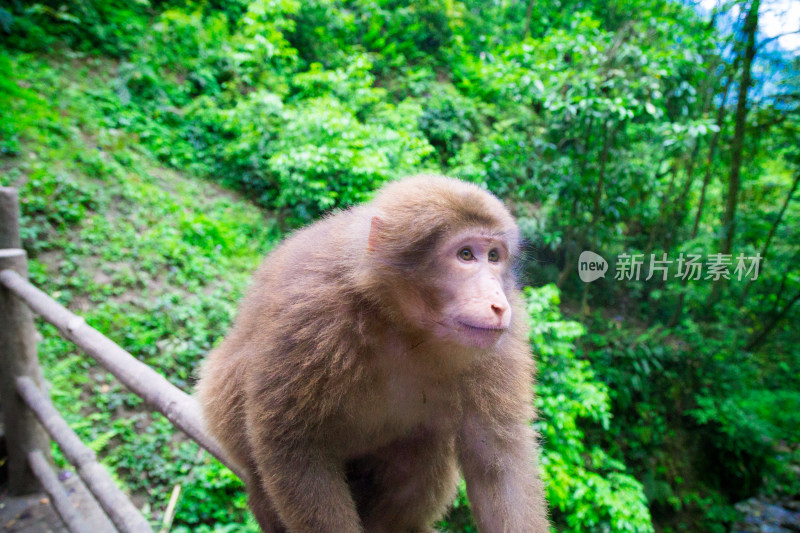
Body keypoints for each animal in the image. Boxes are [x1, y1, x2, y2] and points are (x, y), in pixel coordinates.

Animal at [198, 176, 552, 532]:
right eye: (466, 254)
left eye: (493, 256)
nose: (498, 303)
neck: (406, 327)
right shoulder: (311, 315)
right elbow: (292, 445)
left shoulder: (501, 343)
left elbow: (496, 458)